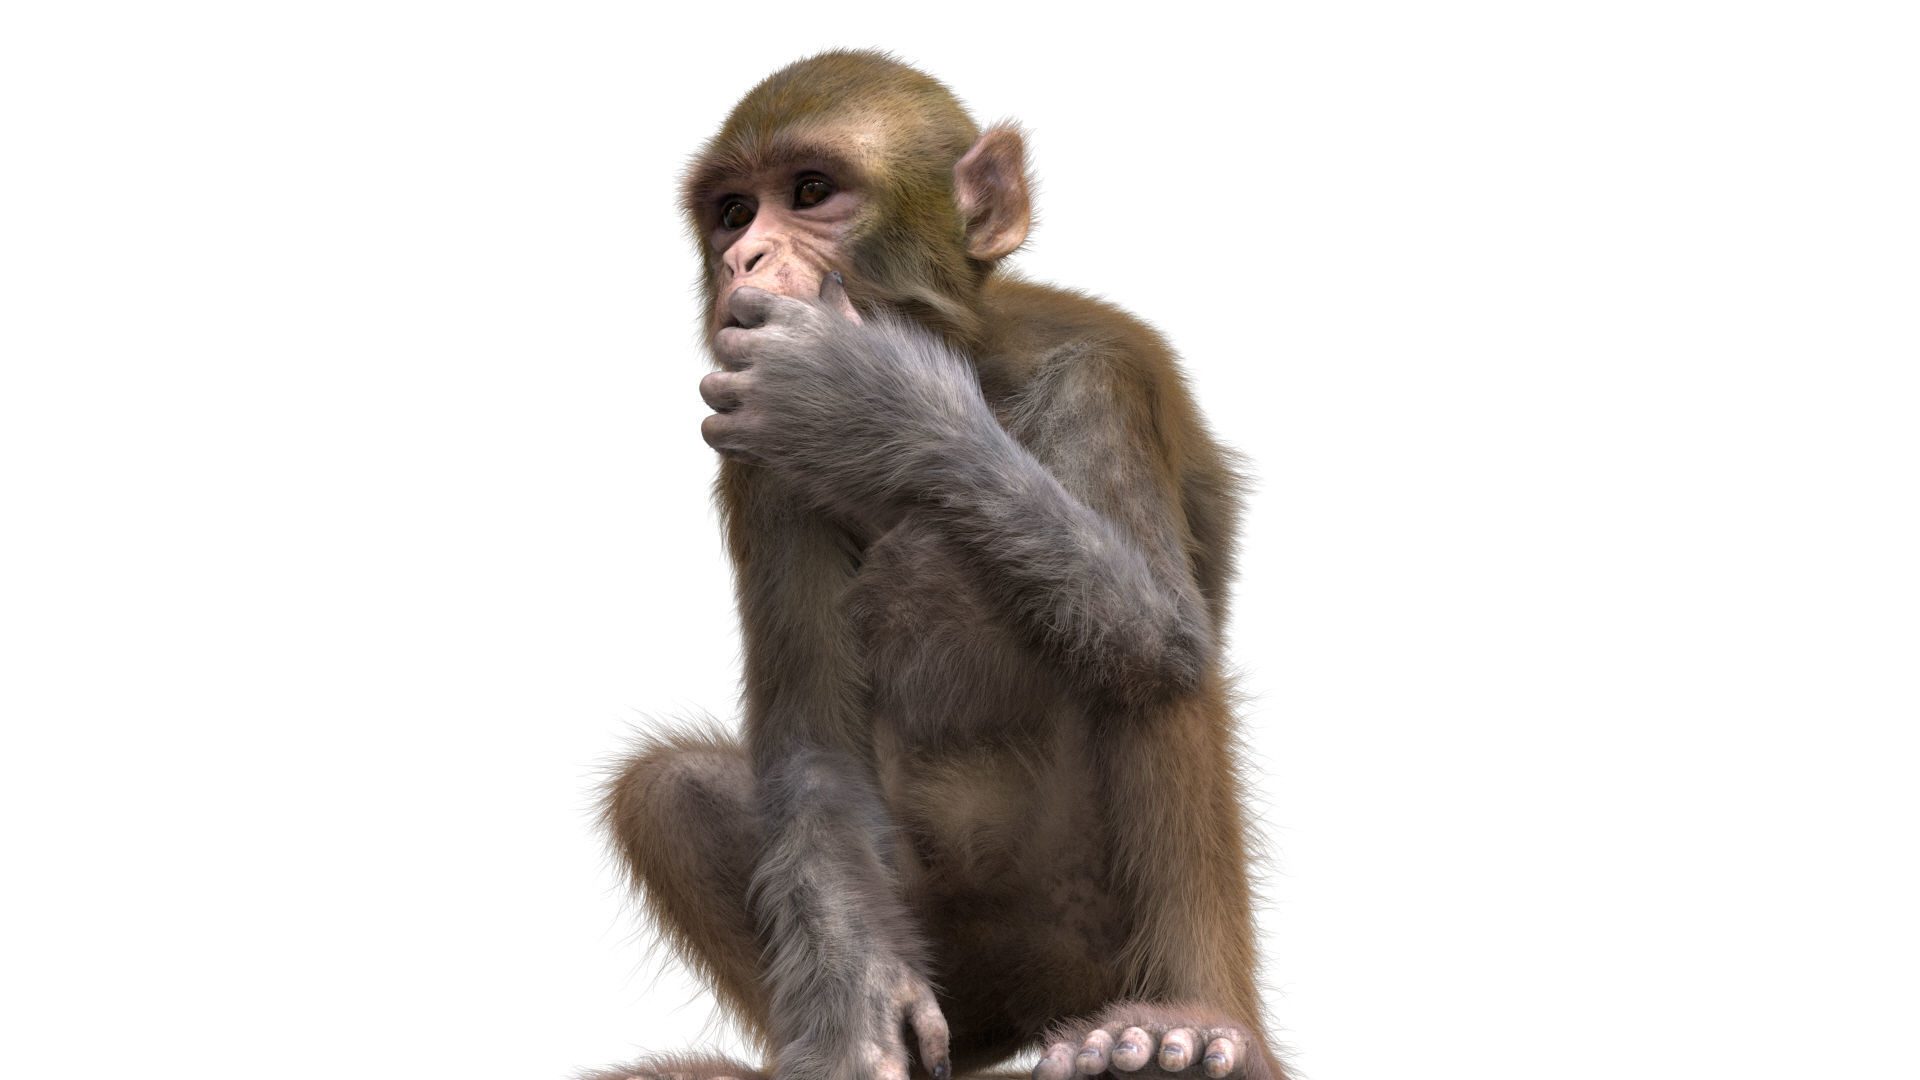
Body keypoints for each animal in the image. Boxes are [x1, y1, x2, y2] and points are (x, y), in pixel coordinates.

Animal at [591, 50, 1287, 1080]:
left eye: (810, 193)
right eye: (732, 213)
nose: (743, 262)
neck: (976, 355)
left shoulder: (1101, 375)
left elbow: (1155, 631)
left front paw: (871, 401)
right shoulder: (758, 463)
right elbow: (813, 754)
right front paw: (851, 1015)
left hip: (1083, 941)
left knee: (1151, 672)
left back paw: (1196, 1028)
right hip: (955, 965)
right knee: (668, 790)